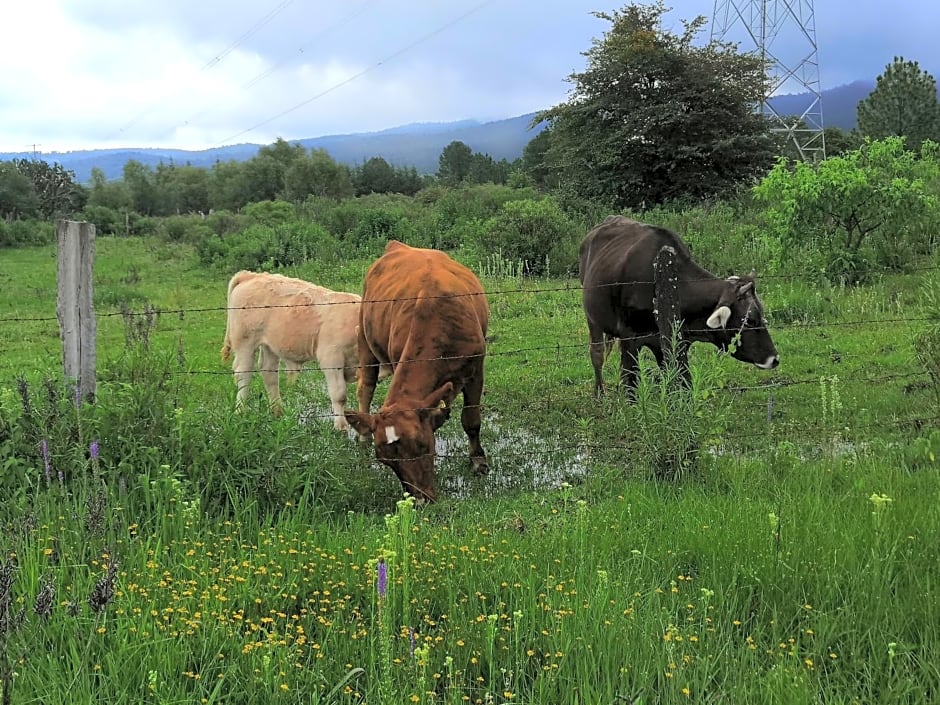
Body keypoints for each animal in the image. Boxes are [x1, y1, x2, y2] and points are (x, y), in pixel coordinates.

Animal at [221, 270, 368, 428]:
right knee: (243, 374)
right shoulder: (331, 358)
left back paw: (277, 411)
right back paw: (240, 411)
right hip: (245, 343)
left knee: (269, 372)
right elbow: (339, 395)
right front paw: (341, 426)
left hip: (269, 345)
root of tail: (251, 275)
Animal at [346, 241, 492, 500]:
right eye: (387, 461)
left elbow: (472, 420)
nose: (420, 499)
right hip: (364, 336)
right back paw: (362, 434)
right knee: (366, 386)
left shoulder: (476, 368)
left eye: (422, 445)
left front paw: (478, 461)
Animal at [580, 214, 780, 396]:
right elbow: (631, 383)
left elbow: (679, 379)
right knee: (597, 353)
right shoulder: (629, 338)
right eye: (750, 321)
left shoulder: (674, 342)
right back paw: (600, 392)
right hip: (592, 318)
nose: (775, 359)